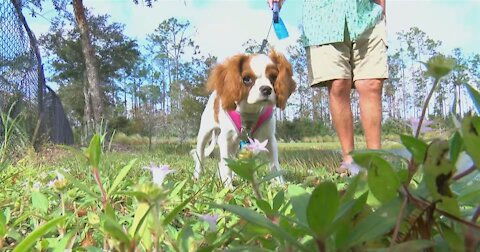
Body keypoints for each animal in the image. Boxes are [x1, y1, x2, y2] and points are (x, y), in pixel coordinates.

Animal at [191, 49, 296, 187]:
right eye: (246, 79)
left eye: (273, 77)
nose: (266, 89)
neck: (250, 111)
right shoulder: (225, 138)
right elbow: (226, 164)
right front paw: (228, 187)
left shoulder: (269, 139)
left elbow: (274, 164)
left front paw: (281, 186)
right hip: (205, 133)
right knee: (201, 156)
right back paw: (197, 177)